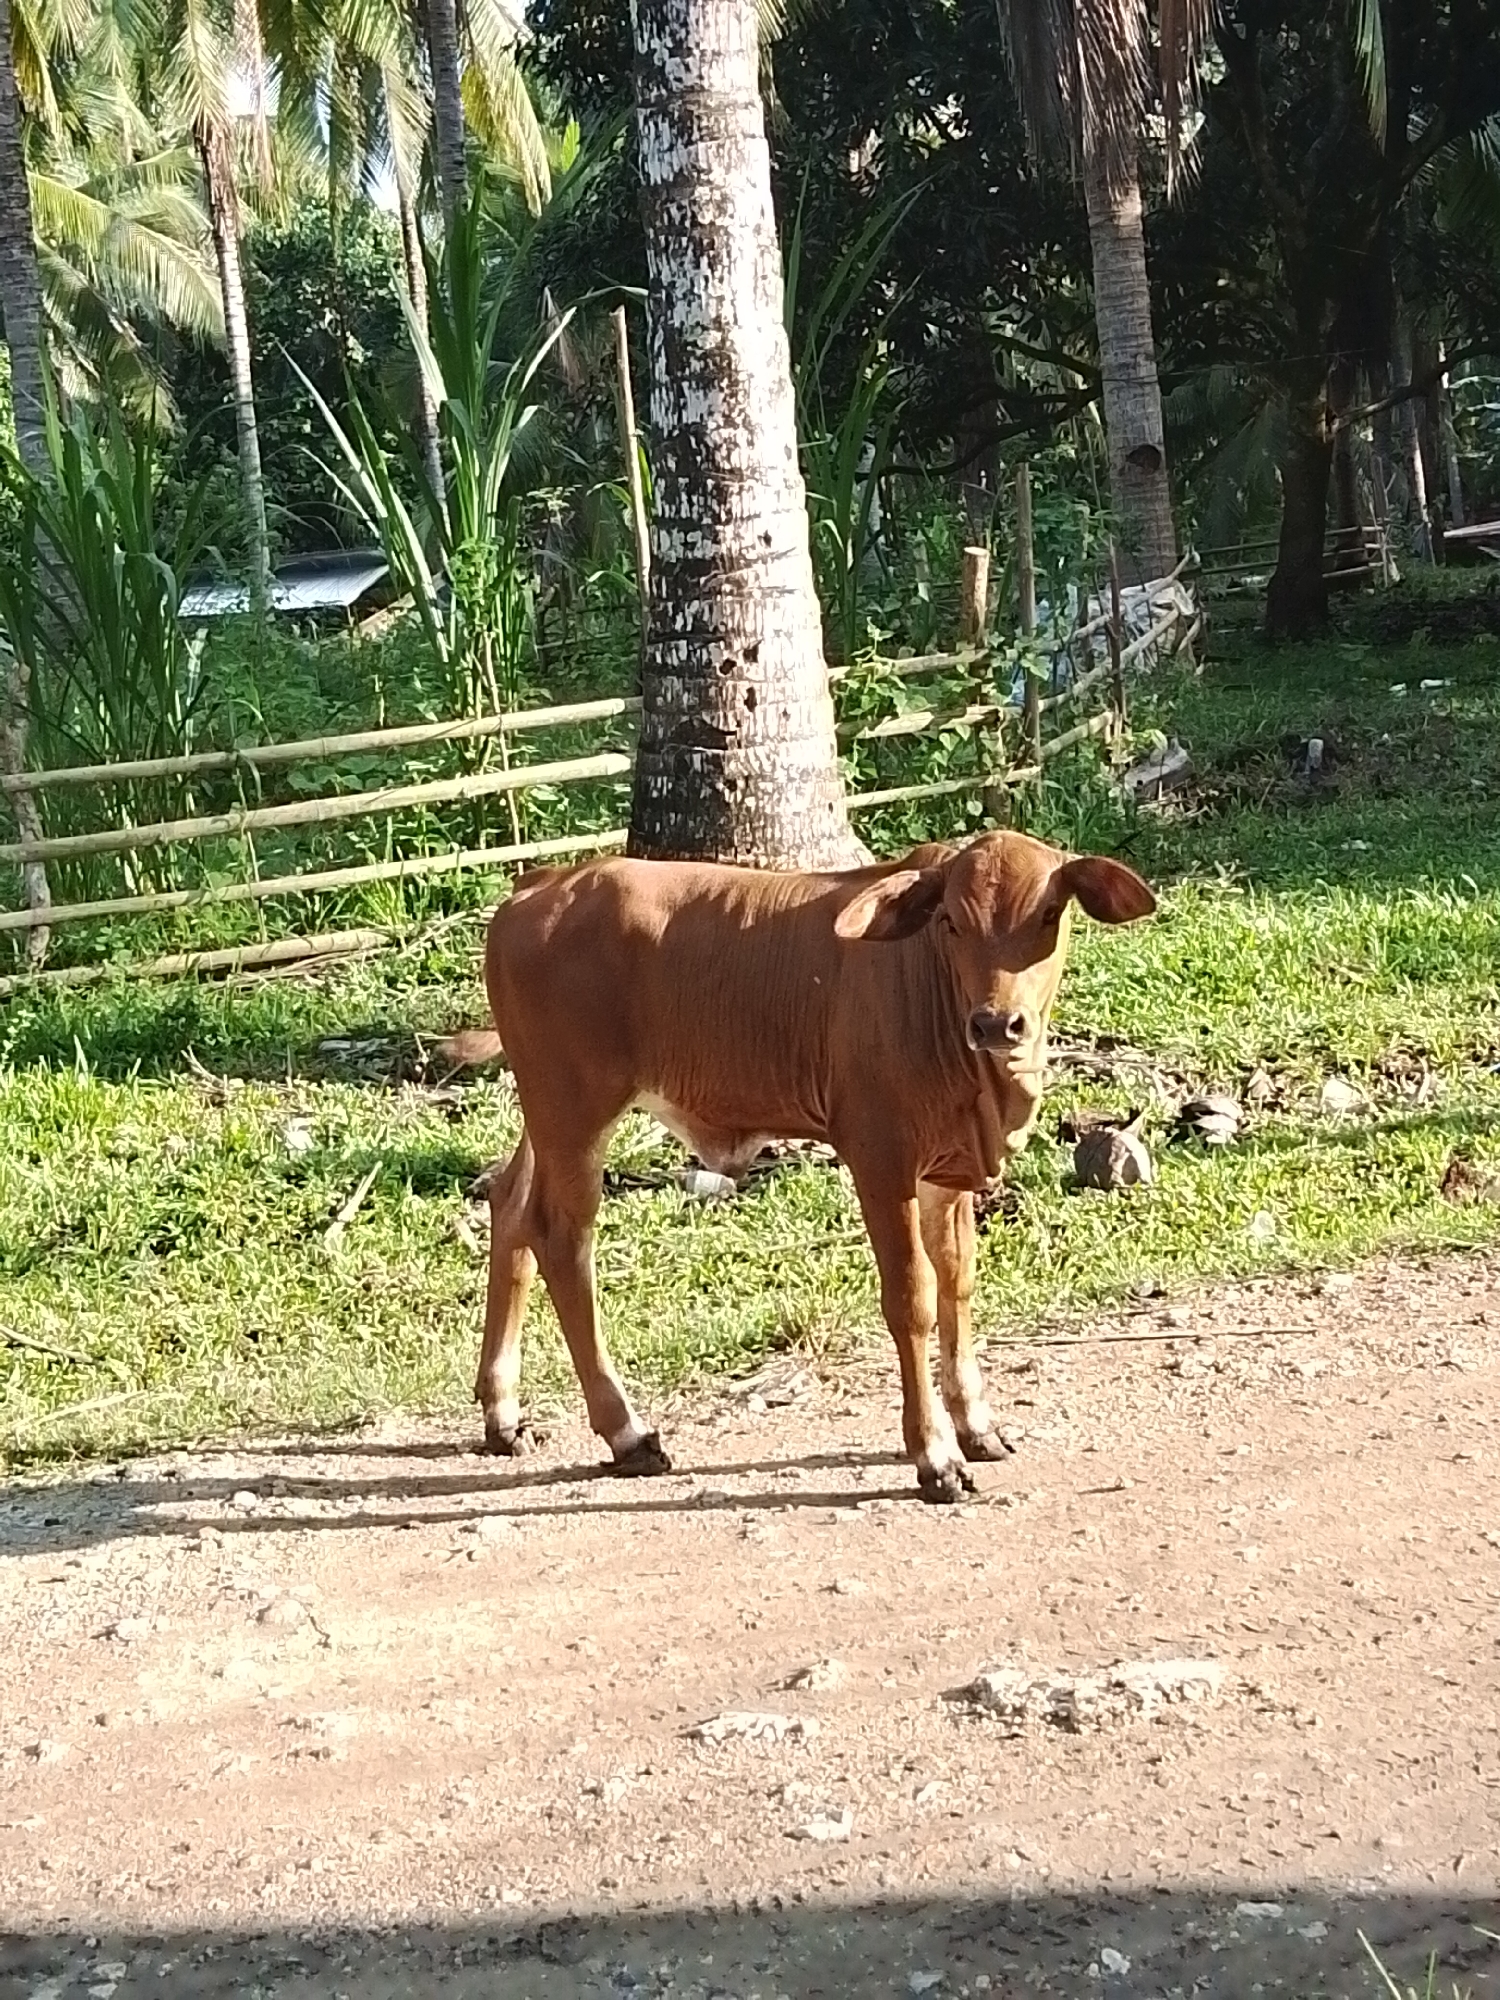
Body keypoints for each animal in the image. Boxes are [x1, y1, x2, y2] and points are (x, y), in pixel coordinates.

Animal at [455, 831, 1155, 1502]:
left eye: (1048, 914)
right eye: (952, 921)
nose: (995, 1023)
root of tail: (540, 884)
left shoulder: (945, 1171)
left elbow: (956, 1282)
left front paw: (976, 1426)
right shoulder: (881, 1159)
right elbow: (913, 1299)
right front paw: (934, 1457)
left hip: (546, 1116)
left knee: (511, 1205)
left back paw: (502, 1413)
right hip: (575, 1111)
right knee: (561, 1239)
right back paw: (627, 1432)